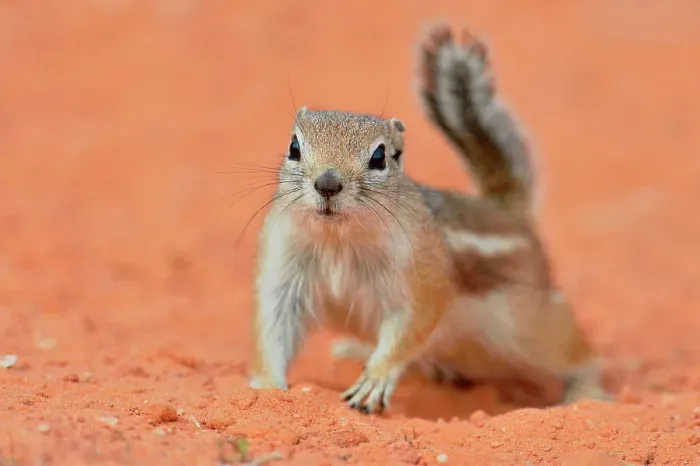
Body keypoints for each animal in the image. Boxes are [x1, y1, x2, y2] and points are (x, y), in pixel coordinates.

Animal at [248, 22, 610, 414]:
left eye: (380, 157)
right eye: (294, 148)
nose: (327, 184)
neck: (338, 239)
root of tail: (506, 212)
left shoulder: (422, 277)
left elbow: (411, 328)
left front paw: (375, 378)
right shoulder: (283, 270)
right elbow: (272, 327)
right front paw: (267, 383)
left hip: (531, 326)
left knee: (576, 352)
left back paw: (588, 391)